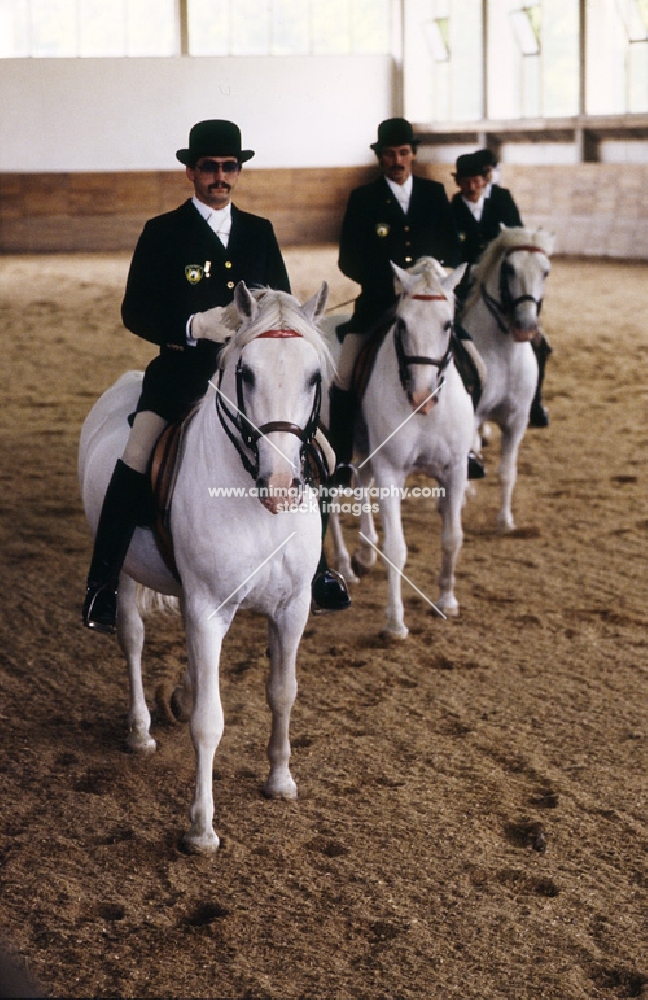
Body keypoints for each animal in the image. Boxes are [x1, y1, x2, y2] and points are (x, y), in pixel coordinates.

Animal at [79, 282, 332, 852]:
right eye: (247, 373)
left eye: (314, 377)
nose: (281, 484)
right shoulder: (207, 607)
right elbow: (208, 722)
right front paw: (201, 828)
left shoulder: (293, 606)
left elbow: (282, 691)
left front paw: (280, 780)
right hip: (126, 573)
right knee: (131, 637)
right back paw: (141, 730)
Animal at [330, 258, 470, 640]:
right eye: (402, 323)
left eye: (448, 324)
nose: (422, 396)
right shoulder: (391, 470)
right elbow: (396, 548)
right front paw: (395, 622)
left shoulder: (456, 469)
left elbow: (452, 537)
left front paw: (447, 600)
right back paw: (346, 566)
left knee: (361, 480)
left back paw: (364, 551)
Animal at [460, 229, 556, 532]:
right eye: (509, 269)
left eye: (546, 271)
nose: (525, 327)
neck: (504, 355)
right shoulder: (473, 414)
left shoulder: (517, 421)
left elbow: (507, 472)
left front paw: (504, 521)